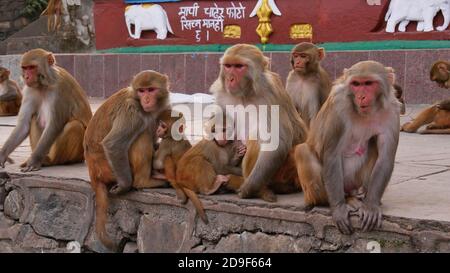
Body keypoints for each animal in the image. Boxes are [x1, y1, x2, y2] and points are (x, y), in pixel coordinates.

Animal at [83, 69, 170, 249]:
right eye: (141, 91)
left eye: (151, 90)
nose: (146, 99)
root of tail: (92, 170)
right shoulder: (131, 110)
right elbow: (113, 144)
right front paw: (124, 186)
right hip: (107, 169)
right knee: (140, 135)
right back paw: (143, 181)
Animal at [210, 43, 308, 201]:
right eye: (228, 66)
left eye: (239, 66)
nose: (230, 79)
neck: (245, 94)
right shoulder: (221, 94)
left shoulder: (270, 94)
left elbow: (277, 141)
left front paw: (249, 188)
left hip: (286, 172)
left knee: (257, 137)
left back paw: (261, 189)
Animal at [296, 60, 400, 233]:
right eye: (356, 84)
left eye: (368, 83)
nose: (361, 96)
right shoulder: (339, 106)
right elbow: (332, 154)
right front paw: (339, 208)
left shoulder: (392, 111)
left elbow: (385, 157)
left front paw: (371, 205)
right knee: (303, 150)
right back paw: (340, 201)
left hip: (356, 181)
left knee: (374, 145)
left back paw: (362, 197)